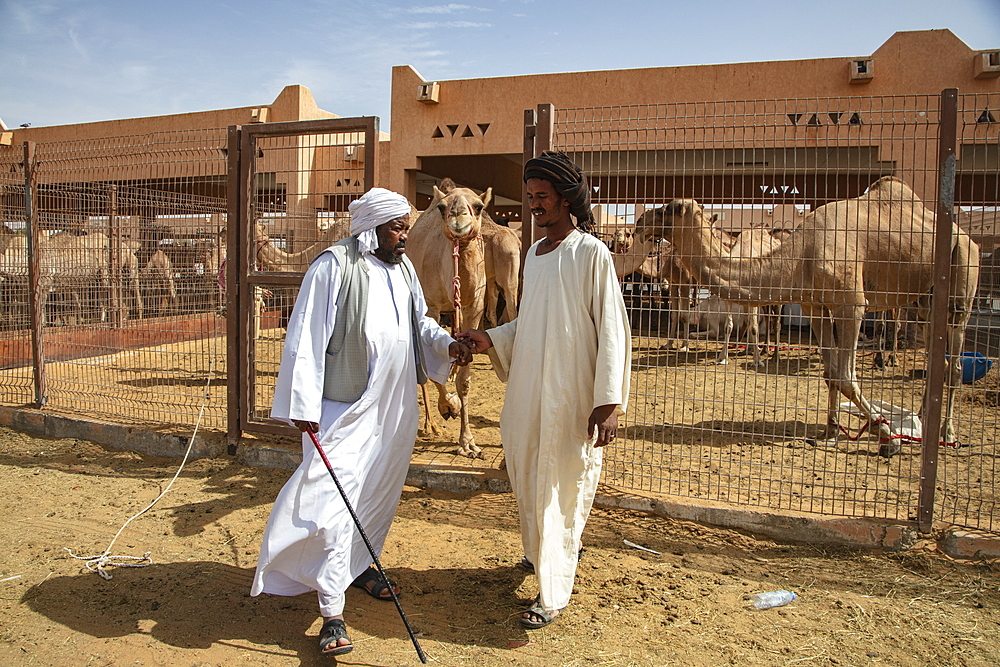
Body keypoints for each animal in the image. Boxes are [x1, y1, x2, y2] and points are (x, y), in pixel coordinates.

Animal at [406, 177, 500, 460]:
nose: (458, 216)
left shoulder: (474, 308)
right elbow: (430, 366)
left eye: (479, 206)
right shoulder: (431, 306)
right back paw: (431, 425)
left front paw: (468, 443)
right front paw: (449, 406)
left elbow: (465, 381)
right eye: (441, 207)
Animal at [636, 176, 980, 460]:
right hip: (924, 300)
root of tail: (967, 235)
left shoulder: (851, 304)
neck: (801, 254)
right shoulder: (814, 305)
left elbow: (846, 376)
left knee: (955, 362)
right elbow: (831, 373)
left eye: (670, 208)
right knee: (939, 360)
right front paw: (830, 432)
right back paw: (921, 419)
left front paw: (887, 436)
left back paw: (948, 434)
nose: (640, 220)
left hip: (961, 274)